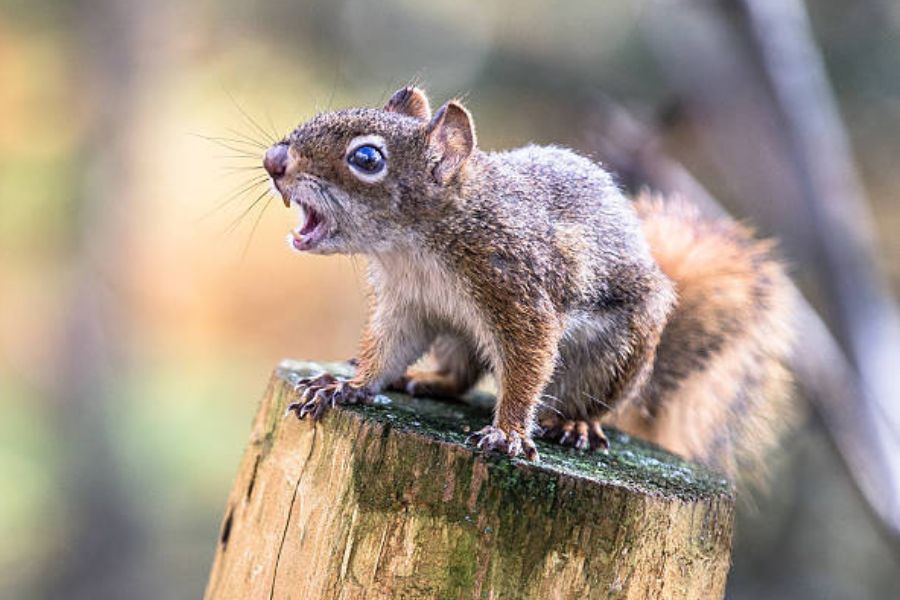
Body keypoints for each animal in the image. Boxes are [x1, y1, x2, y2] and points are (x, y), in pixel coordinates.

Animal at [262, 86, 796, 486]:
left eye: (368, 158)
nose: (273, 159)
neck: (415, 247)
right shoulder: (406, 305)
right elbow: (387, 349)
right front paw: (346, 387)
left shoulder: (519, 289)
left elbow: (527, 364)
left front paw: (509, 433)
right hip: (457, 337)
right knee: (461, 375)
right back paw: (425, 379)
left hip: (613, 357)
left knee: (586, 398)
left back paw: (576, 423)